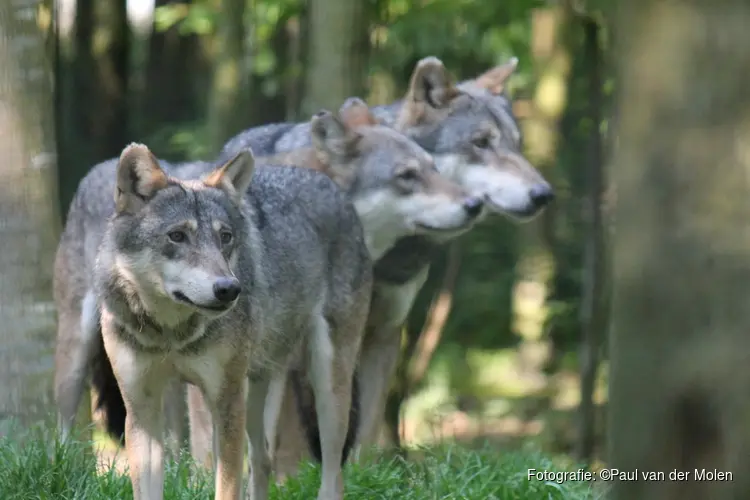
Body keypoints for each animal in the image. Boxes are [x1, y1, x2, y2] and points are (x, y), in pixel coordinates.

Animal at [54, 142, 375, 500]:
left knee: (333, 474)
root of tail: (335, 189)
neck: (170, 333)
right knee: (263, 459)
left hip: (326, 388)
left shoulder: (225, 403)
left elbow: (225, 487)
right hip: (74, 364)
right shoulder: (142, 409)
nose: (229, 289)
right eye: (177, 236)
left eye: (226, 237)